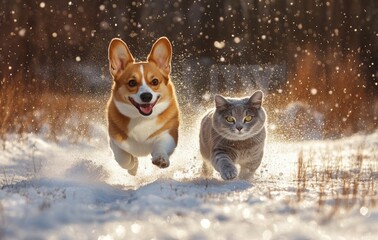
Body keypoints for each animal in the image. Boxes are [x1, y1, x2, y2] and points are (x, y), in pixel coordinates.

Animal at [108, 36, 180, 175]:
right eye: (132, 83)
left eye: (155, 81)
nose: (146, 96)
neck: (141, 119)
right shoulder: (114, 139)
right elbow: (122, 157)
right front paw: (132, 166)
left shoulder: (168, 133)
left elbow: (161, 145)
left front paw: (161, 159)